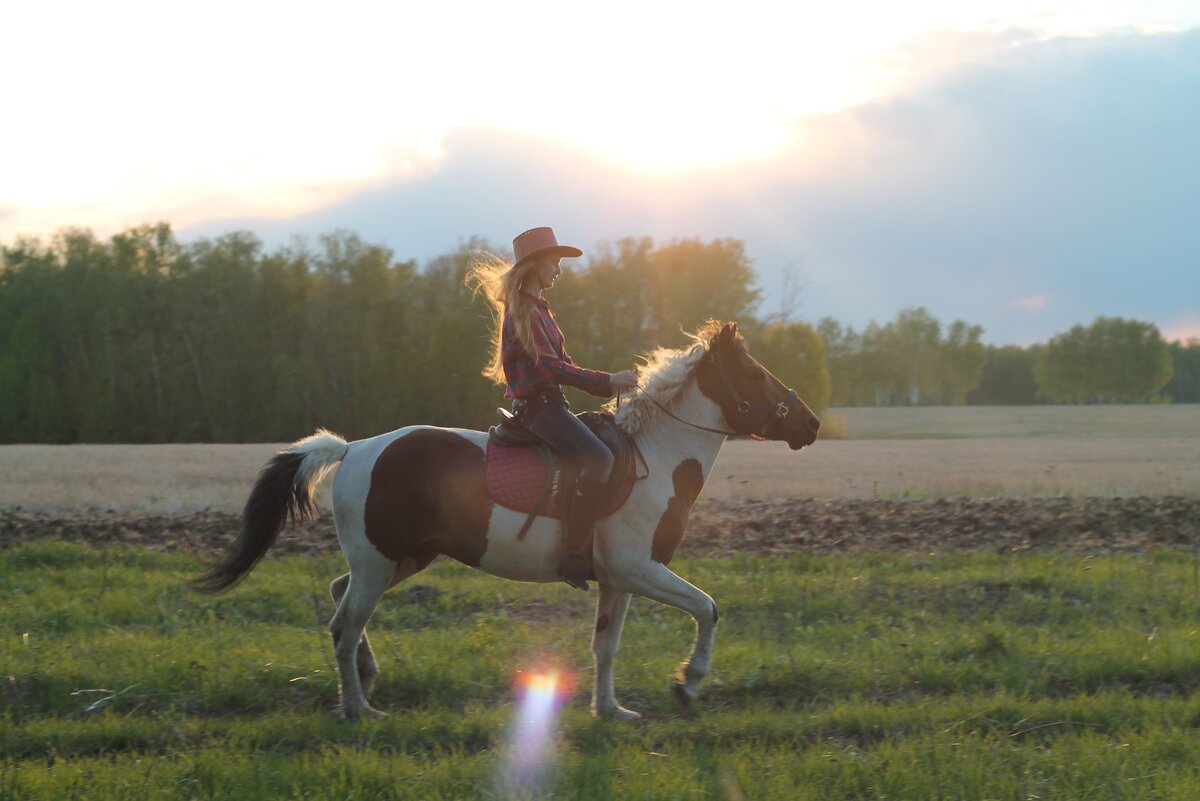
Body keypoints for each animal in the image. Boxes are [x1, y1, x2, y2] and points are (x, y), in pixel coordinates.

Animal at [192, 318, 820, 719]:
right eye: (757, 374)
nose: (811, 423)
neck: (657, 457)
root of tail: (354, 449)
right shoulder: (638, 570)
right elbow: (708, 609)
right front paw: (688, 685)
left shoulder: (618, 580)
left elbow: (606, 646)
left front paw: (611, 710)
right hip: (380, 563)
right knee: (344, 625)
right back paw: (358, 709)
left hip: (402, 559)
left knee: (338, 594)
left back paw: (367, 679)